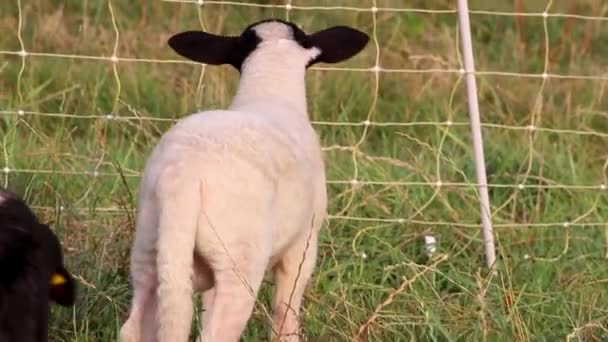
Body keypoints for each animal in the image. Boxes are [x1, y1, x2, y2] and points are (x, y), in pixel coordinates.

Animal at [117, 18, 368, 342]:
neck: (269, 89)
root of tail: (184, 176)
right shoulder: (303, 244)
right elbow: (285, 314)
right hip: (238, 261)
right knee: (218, 334)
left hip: (151, 247)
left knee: (133, 328)